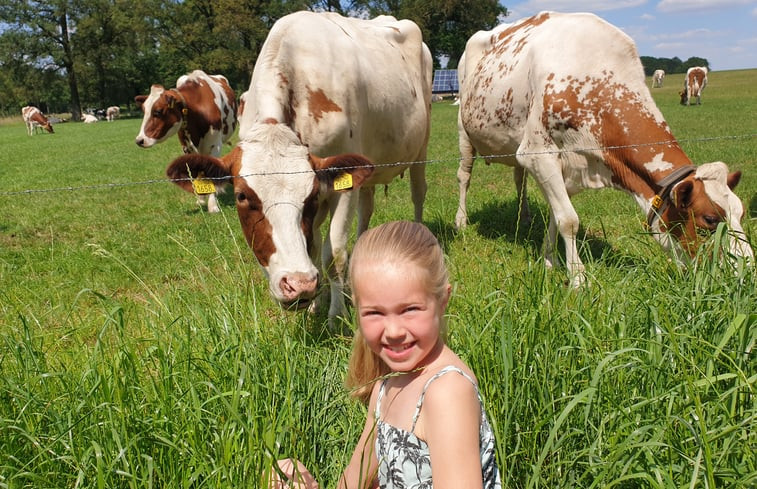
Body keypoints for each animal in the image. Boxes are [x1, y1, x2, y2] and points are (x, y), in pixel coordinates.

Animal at [134, 68, 238, 212]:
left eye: (158, 111)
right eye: (144, 110)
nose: (140, 140)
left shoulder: (215, 145)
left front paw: (212, 205)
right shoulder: (187, 147)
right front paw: (200, 199)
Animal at [164, 11, 432, 318]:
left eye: (311, 193)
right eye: (241, 196)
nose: (298, 284)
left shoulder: (339, 190)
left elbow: (333, 254)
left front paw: (336, 314)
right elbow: (313, 248)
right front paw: (317, 303)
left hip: (421, 147)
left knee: (418, 193)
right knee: (367, 208)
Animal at [454, 11, 752, 288]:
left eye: (741, 212)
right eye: (709, 219)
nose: (747, 273)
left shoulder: (568, 165)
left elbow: (555, 215)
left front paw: (549, 259)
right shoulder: (538, 153)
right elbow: (568, 220)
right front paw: (578, 278)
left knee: (519, 179)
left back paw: (524, 216)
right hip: (464, 131)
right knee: (464, 176)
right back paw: (461, 221)